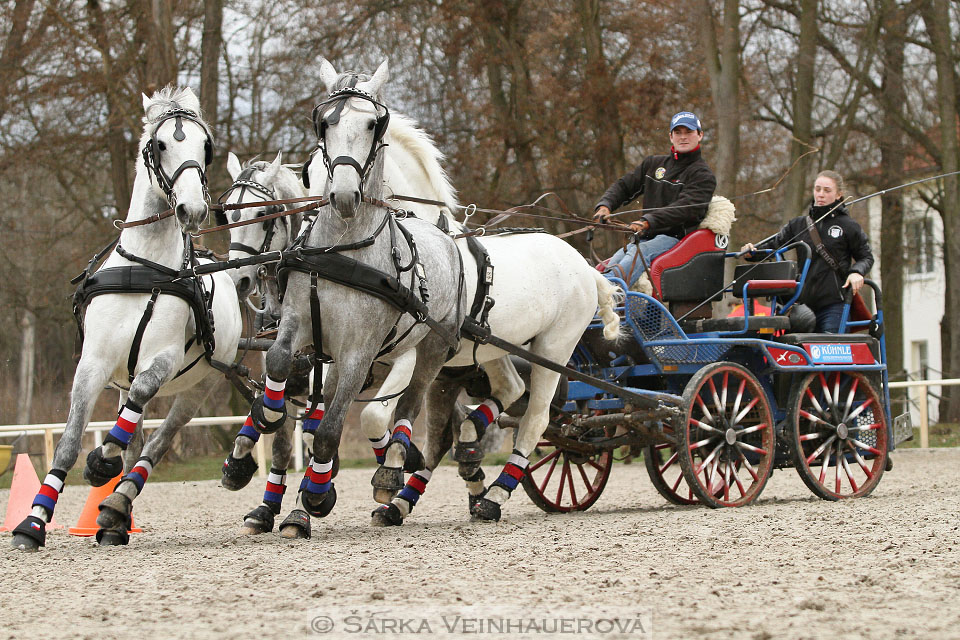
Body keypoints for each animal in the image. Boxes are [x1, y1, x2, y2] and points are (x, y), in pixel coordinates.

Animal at [10, 87, 242, 552]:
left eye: (205, 147)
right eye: (160, 145)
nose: (192, 209)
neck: (145, 270)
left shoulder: (162, 360)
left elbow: (135, 413)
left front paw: (100, 464)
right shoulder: (94, 363)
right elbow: (68, 443)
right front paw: (34, 521)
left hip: (201, 385)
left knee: (156, 441)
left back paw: (117, 502)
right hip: (122, 379)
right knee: (133, 435)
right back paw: (115, 519)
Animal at [304, 60, 624, 528]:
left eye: (370, 125)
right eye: (322, 132)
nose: (337, 203)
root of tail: (583, 264)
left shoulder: (409, 352)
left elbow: (375, 414)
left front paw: (391, 472)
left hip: (555, 348)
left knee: (535, 418)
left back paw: (495, 495)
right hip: (493, 350)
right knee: (506, 391)